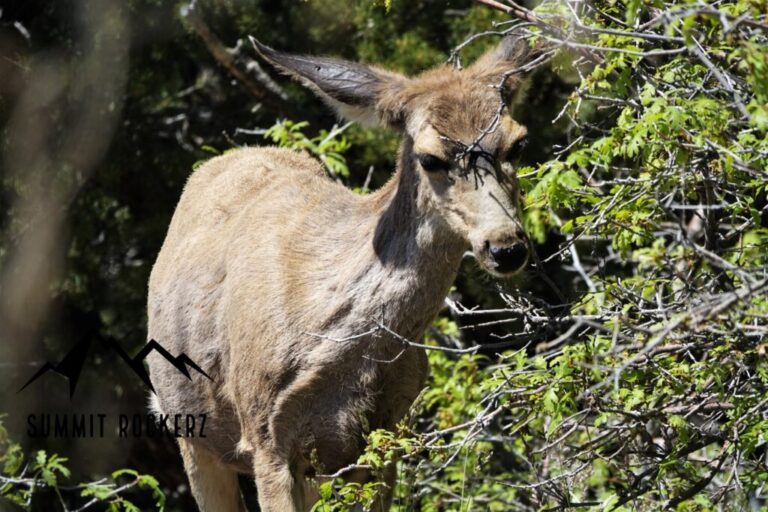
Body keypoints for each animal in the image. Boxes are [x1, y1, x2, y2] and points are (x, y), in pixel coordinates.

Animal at [147, 34, 536, 510]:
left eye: (518, 143)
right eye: (430, 158)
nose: (506, 247)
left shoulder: (384, 435)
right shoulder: (265, 433)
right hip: (188, 426)